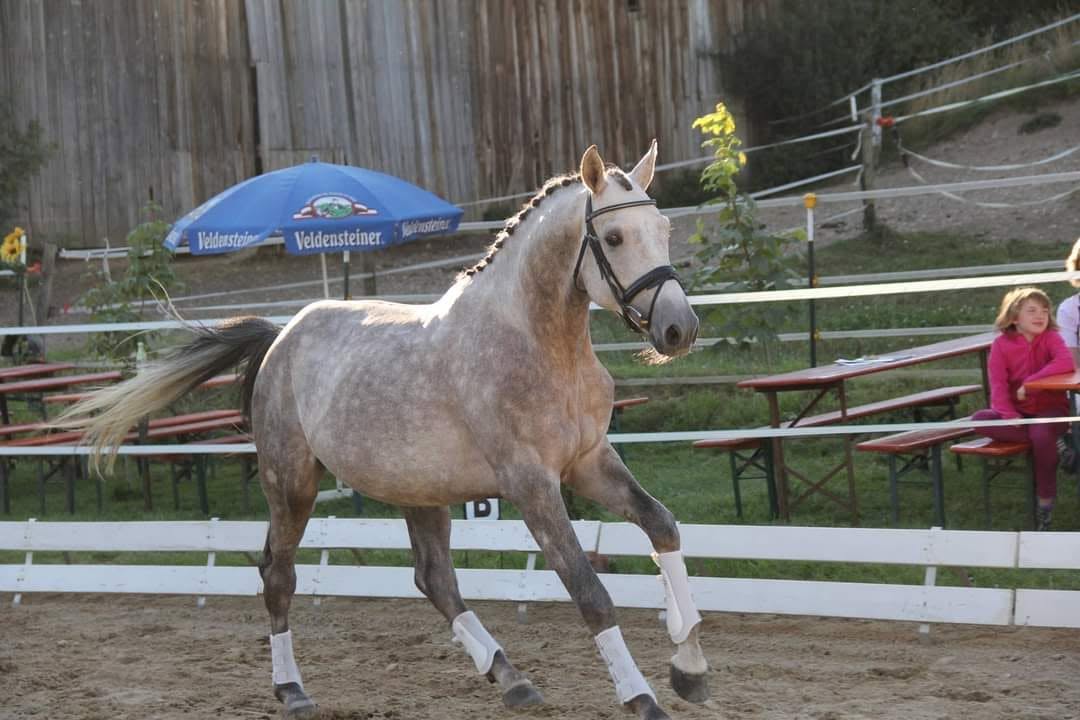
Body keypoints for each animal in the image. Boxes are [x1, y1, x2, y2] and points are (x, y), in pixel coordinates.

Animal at [62, 142, 709, 719]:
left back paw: (512, 679)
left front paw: (690, 668)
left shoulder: (589, 461)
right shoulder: (532, 484)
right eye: (615, 238)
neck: (539, 343)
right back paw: (292, 691)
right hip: (291, 485)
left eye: (663, 228)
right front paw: (643, 697)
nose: (679, 329)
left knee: (433, 578)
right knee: (278, 577)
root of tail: (281, 335)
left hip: (418, 491)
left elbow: (663, 526)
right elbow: (588, 590)